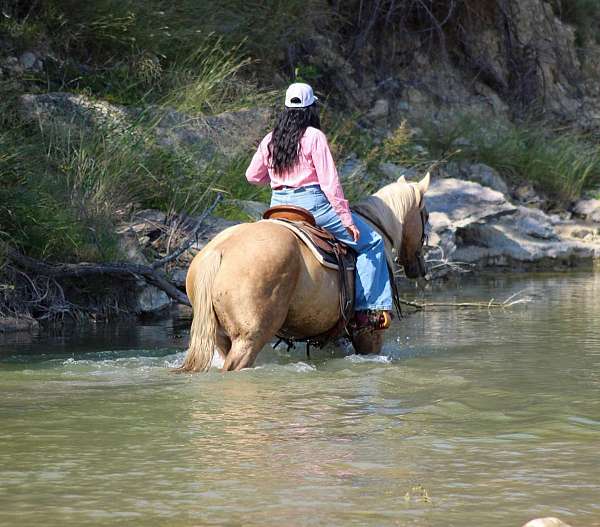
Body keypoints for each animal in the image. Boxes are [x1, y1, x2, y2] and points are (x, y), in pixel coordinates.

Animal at [178, 172, 432, 372]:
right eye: (426, 215)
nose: (420, 268)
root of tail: (219, 250)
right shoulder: (369, 332)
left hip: (221, 338)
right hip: (249, 338)